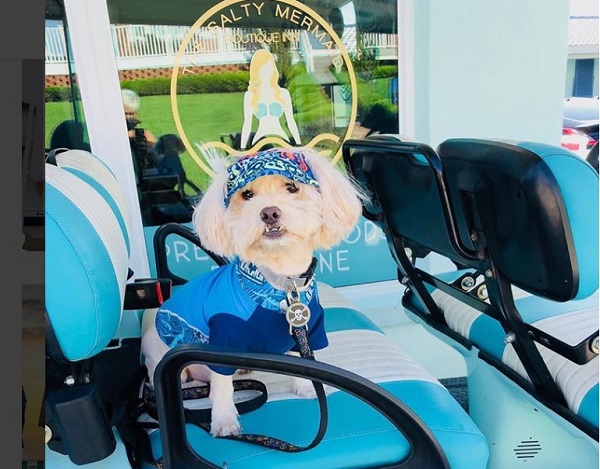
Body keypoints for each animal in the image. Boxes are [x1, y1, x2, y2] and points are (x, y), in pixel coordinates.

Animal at [141, 145, 366, 436]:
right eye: (247, 195)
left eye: (292, 187)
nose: (269, 213)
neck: (280, 282)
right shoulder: (222, 340)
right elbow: (221, 388)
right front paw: (224, 420)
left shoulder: (309, 327)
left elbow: (306, 361)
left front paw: (307, 388)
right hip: (160, 356)